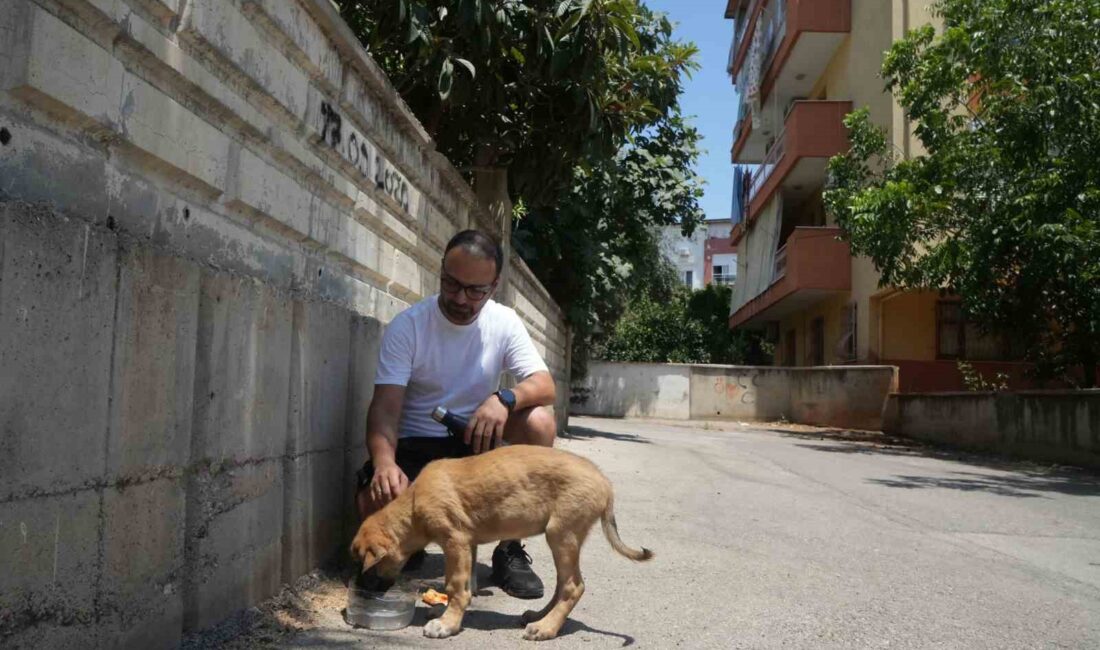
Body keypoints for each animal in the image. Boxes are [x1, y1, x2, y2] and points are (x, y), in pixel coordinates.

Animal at [347, 444, 646, 642]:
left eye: (366, 564)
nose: (363, 590)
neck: (412, 505)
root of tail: (605, 483)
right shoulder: (468, 545)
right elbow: (466, 586)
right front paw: (449, 614)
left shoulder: (455, 541)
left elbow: (454, 585)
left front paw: (447, 624)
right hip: (562, 540)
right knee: (563, 584)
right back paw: (539, 616)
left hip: (561, 534)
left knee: (573, 586)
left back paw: (546, 628)